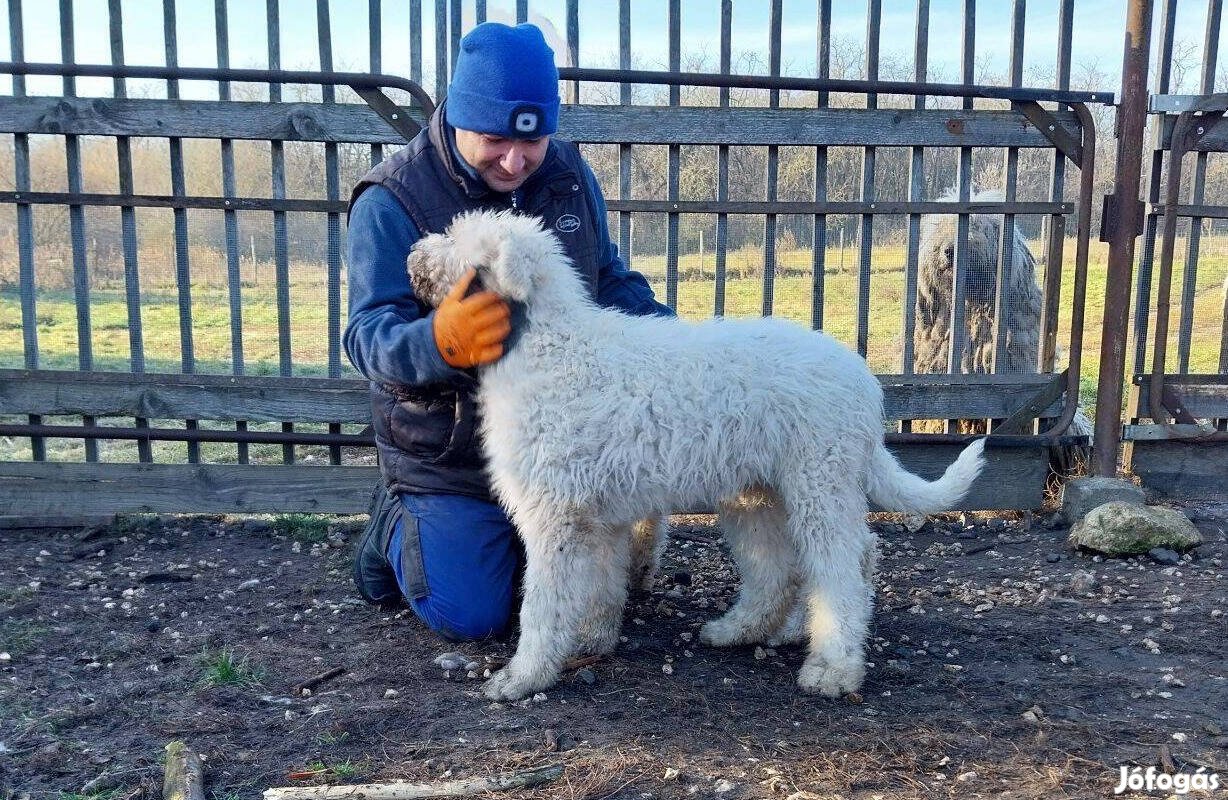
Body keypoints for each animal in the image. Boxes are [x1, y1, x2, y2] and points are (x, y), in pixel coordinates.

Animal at [407, 211, 982, 702]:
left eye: (456, 241)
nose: (413, 254)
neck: (550, 347)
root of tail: (864, 383)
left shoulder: (555, 516)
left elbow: (543, 606)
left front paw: (522, 677)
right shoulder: (597, 518)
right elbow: (599, 586)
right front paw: (592, 639)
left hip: (820, 481)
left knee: (842, 569)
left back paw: (833, 667)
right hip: (759, 494)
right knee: (783, 571)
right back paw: (746, 630)